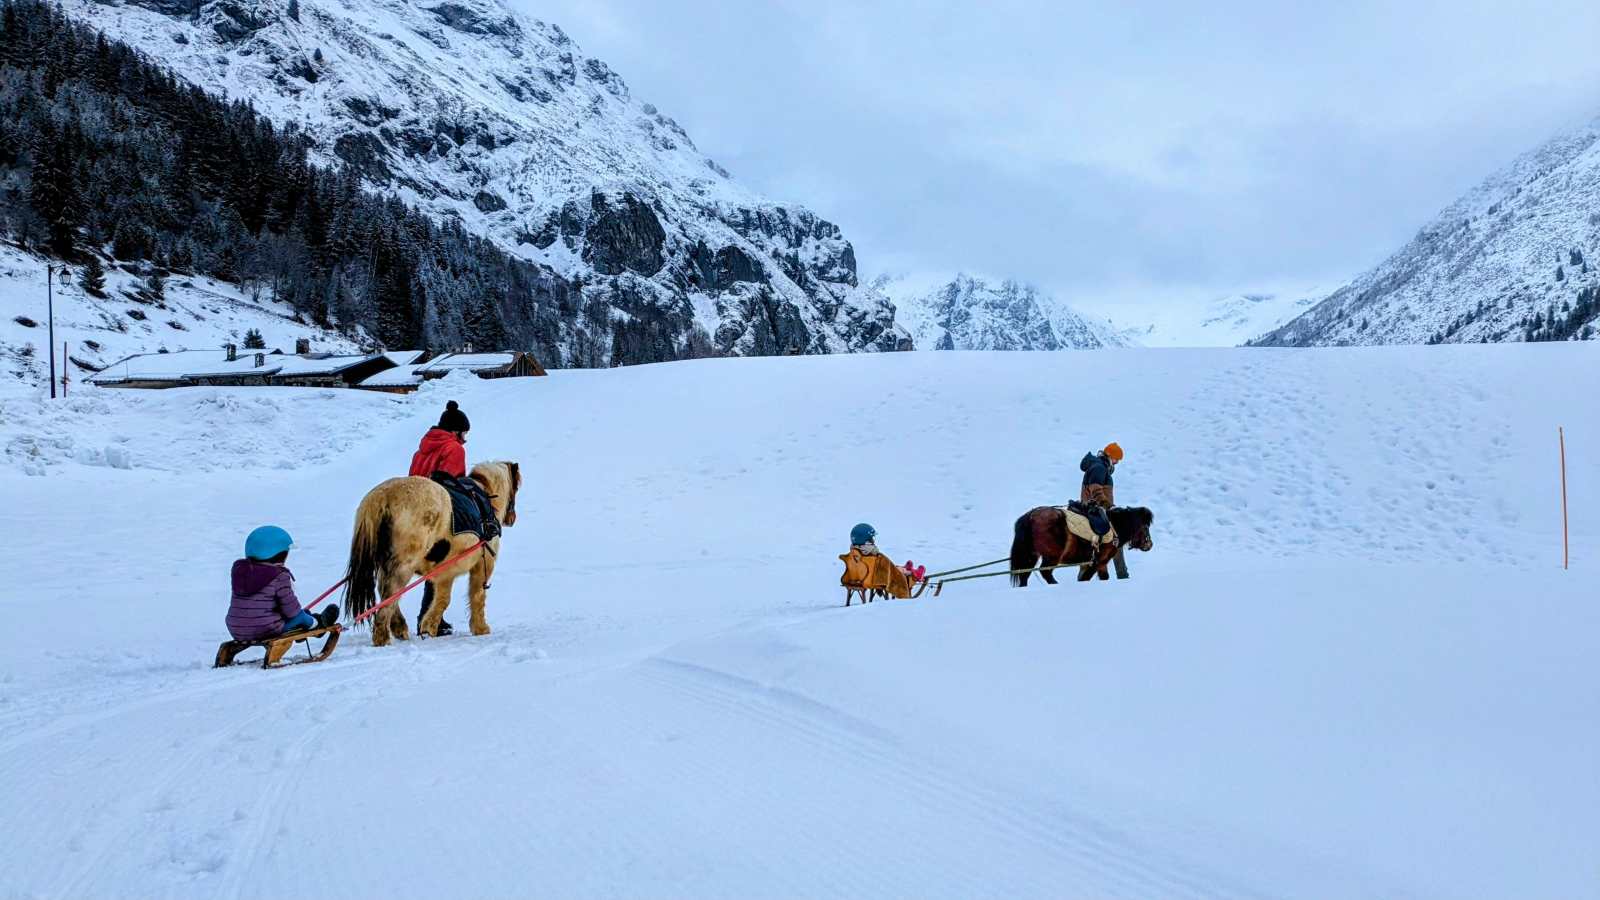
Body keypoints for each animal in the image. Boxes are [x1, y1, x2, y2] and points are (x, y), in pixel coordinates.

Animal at [344, 458, 524, 640]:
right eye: (516, 488)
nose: (512, 518)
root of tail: (384, 494)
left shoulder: (444, 570)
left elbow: (439, 597)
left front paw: (429, 626)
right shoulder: (481, 564)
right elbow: (475, 596)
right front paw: (479, 628)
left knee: (386, 593)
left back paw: (399, 628)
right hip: (403, 566)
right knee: (389, 595)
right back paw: (383, 638)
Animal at [1011, 499, 1152, 586]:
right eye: (1145, 526)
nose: (1149, 544)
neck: (1113, 527)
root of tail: (1031, 515)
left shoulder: (1098, 563)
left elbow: (1103, 577)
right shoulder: (1098, 562)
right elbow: (1085, 578)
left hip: (1032, 556)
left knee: (1024, 575)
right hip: (1051, 556)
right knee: (1045, 572)